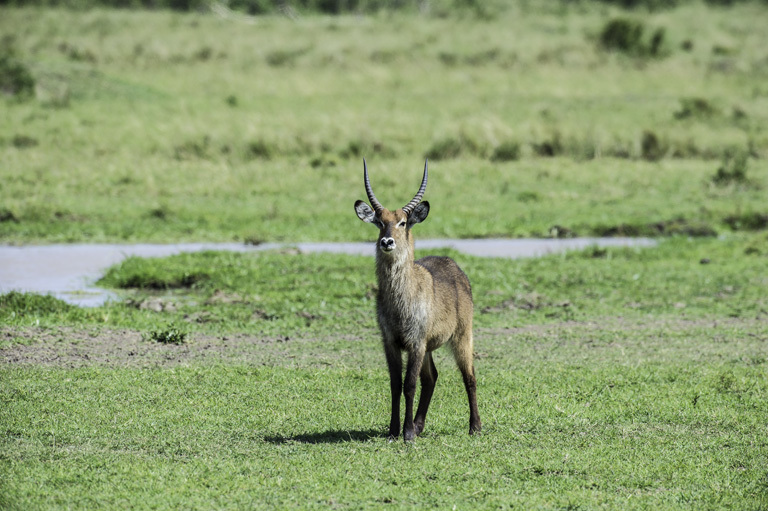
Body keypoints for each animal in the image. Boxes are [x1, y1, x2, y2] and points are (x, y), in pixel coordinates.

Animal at [354, 161, 480, 444]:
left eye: (402, 222)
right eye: (380, 222)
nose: (387, 241)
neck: (400, 299)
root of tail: (452, 263)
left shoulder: (415, 342)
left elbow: (409, 384)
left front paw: (408, 434)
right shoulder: (390, 342)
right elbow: (395, 384)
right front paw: (394, 431)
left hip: (461, 336)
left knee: (469, 376)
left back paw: (475, 427)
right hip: (429, 347)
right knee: (432, 378)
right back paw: (420, 424)